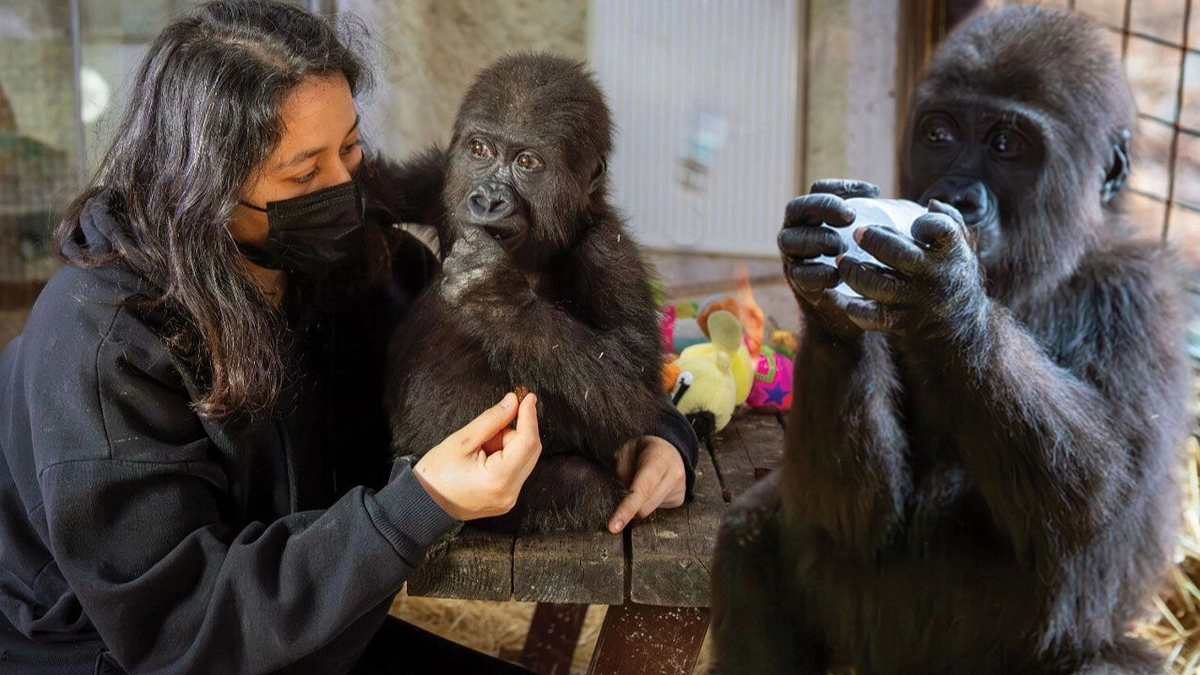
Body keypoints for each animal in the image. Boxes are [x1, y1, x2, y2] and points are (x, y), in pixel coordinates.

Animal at [386, 53, 662, 530]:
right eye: (480, 150)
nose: (488, 200)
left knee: (583, 484)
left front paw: (495, 296)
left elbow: (636, 387)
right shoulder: (441, 181)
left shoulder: (610, 252)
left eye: (528, 162)